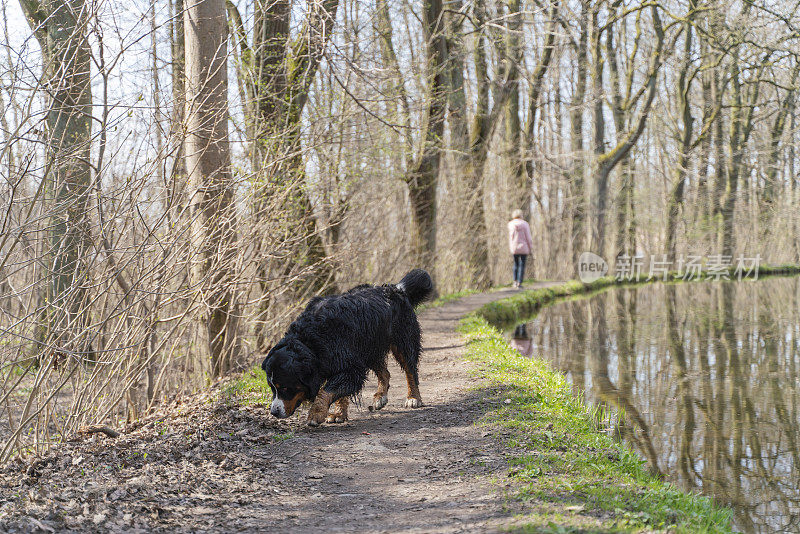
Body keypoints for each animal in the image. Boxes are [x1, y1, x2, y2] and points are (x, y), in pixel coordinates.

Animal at [264, 270, 434, 430]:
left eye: (285, 387)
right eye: (272, 388)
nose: (274, 412)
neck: (310, 341)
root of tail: (395, 288)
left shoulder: (351, 366)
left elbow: (326, 391)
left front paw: (316, 413)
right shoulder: (345, 362)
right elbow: (339, 392)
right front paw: (338, 414)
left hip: (403, 340)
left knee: (410, 370)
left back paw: (413, 398)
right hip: (369, 348)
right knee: (385, 372)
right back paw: (380, 397)